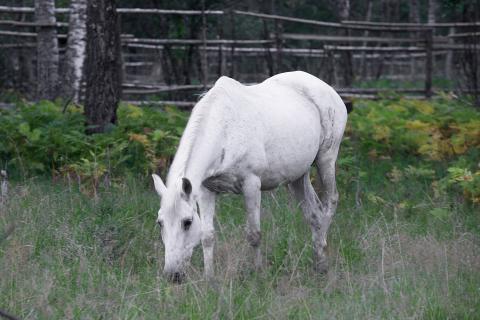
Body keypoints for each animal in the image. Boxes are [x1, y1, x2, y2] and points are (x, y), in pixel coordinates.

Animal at [152, 71, 346, 282]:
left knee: (330, 202)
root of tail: (327, 89)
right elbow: (207, 236)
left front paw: (259, 274)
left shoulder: (251, 184)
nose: (173, 275)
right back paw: (319, 264)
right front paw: (210, 279)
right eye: (160, 223)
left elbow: (254, 234)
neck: (225, 129)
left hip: (326, 159)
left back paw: (323, 249)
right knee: (314, 214)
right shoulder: (205, 189)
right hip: (298, 177)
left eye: (187, 222)